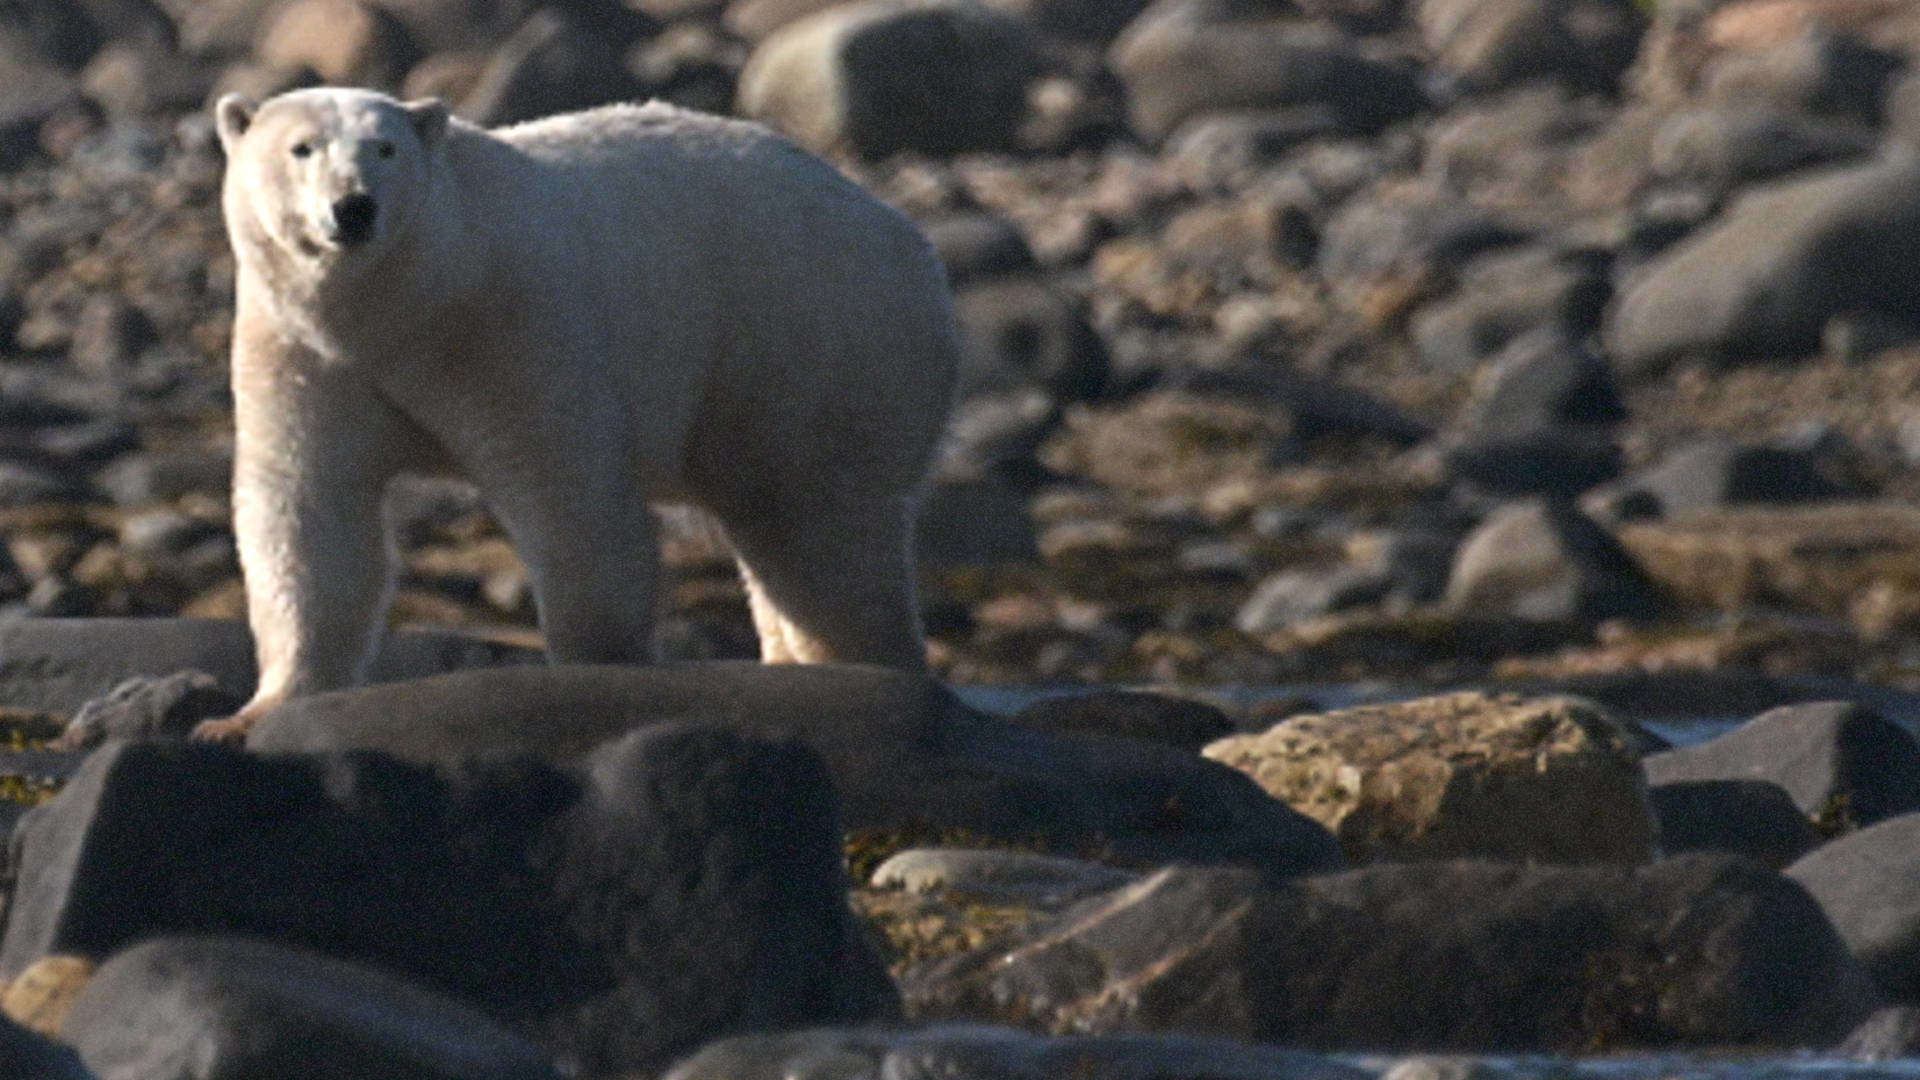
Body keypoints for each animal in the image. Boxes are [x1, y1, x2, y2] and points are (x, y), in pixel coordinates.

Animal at [197, 87, 959, 741]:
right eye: (301, 147)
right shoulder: (304, 353)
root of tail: (911, 240)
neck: (407, 305)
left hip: (814, 346)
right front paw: (247, 714)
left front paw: (592, 674)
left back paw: (856, 676)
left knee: (824, 535)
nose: (354, 207)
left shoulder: (508, 321)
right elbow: (309, 513)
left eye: (384, 148)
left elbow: (567, 492)